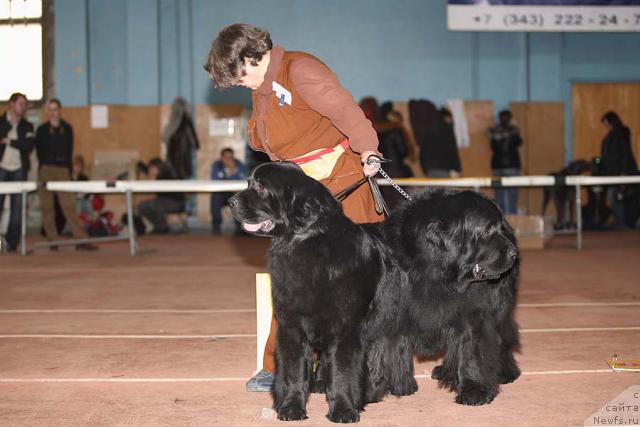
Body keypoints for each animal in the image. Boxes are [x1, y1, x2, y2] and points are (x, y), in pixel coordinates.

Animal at [230, 162, 520, 422]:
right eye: (251, 183)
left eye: (261, 187)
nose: (232, 202)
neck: (307, 246)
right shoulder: (292, 326)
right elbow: (293, 371)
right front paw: (291, 409)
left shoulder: (347, 329)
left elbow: (473, 351)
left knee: (498, 338)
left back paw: (502, 374)